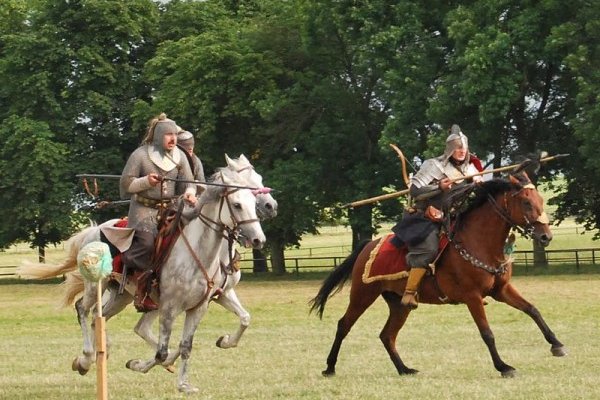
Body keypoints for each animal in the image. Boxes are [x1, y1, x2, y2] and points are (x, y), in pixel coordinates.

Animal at [18, 166, 264, 394]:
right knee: (83, 310)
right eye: (237, 205)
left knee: (101, 318)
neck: (199, 252)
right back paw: (86, 359)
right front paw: (137, 364)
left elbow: (192, 343)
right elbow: (161, 352)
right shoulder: (169, 307)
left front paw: (185, 383)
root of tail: (93, 230)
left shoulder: (202, 305)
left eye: (253, 202)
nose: (258, 239)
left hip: (123, 296)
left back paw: (101, 352)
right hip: (96, 285)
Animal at [310, 168, 568, 378]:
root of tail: (367, 246)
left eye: (540, 199)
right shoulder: (472, 296)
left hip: (399, 304)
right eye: (526, 202)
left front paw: (557, 344)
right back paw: (329, 367)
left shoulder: (501, 289)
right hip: (362, 294)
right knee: (344, 325)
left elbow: (532, 310)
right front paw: (503, 367)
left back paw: (404, 369)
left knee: (387, 335)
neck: (479, 241)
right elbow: (487, 333)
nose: (545, 236)